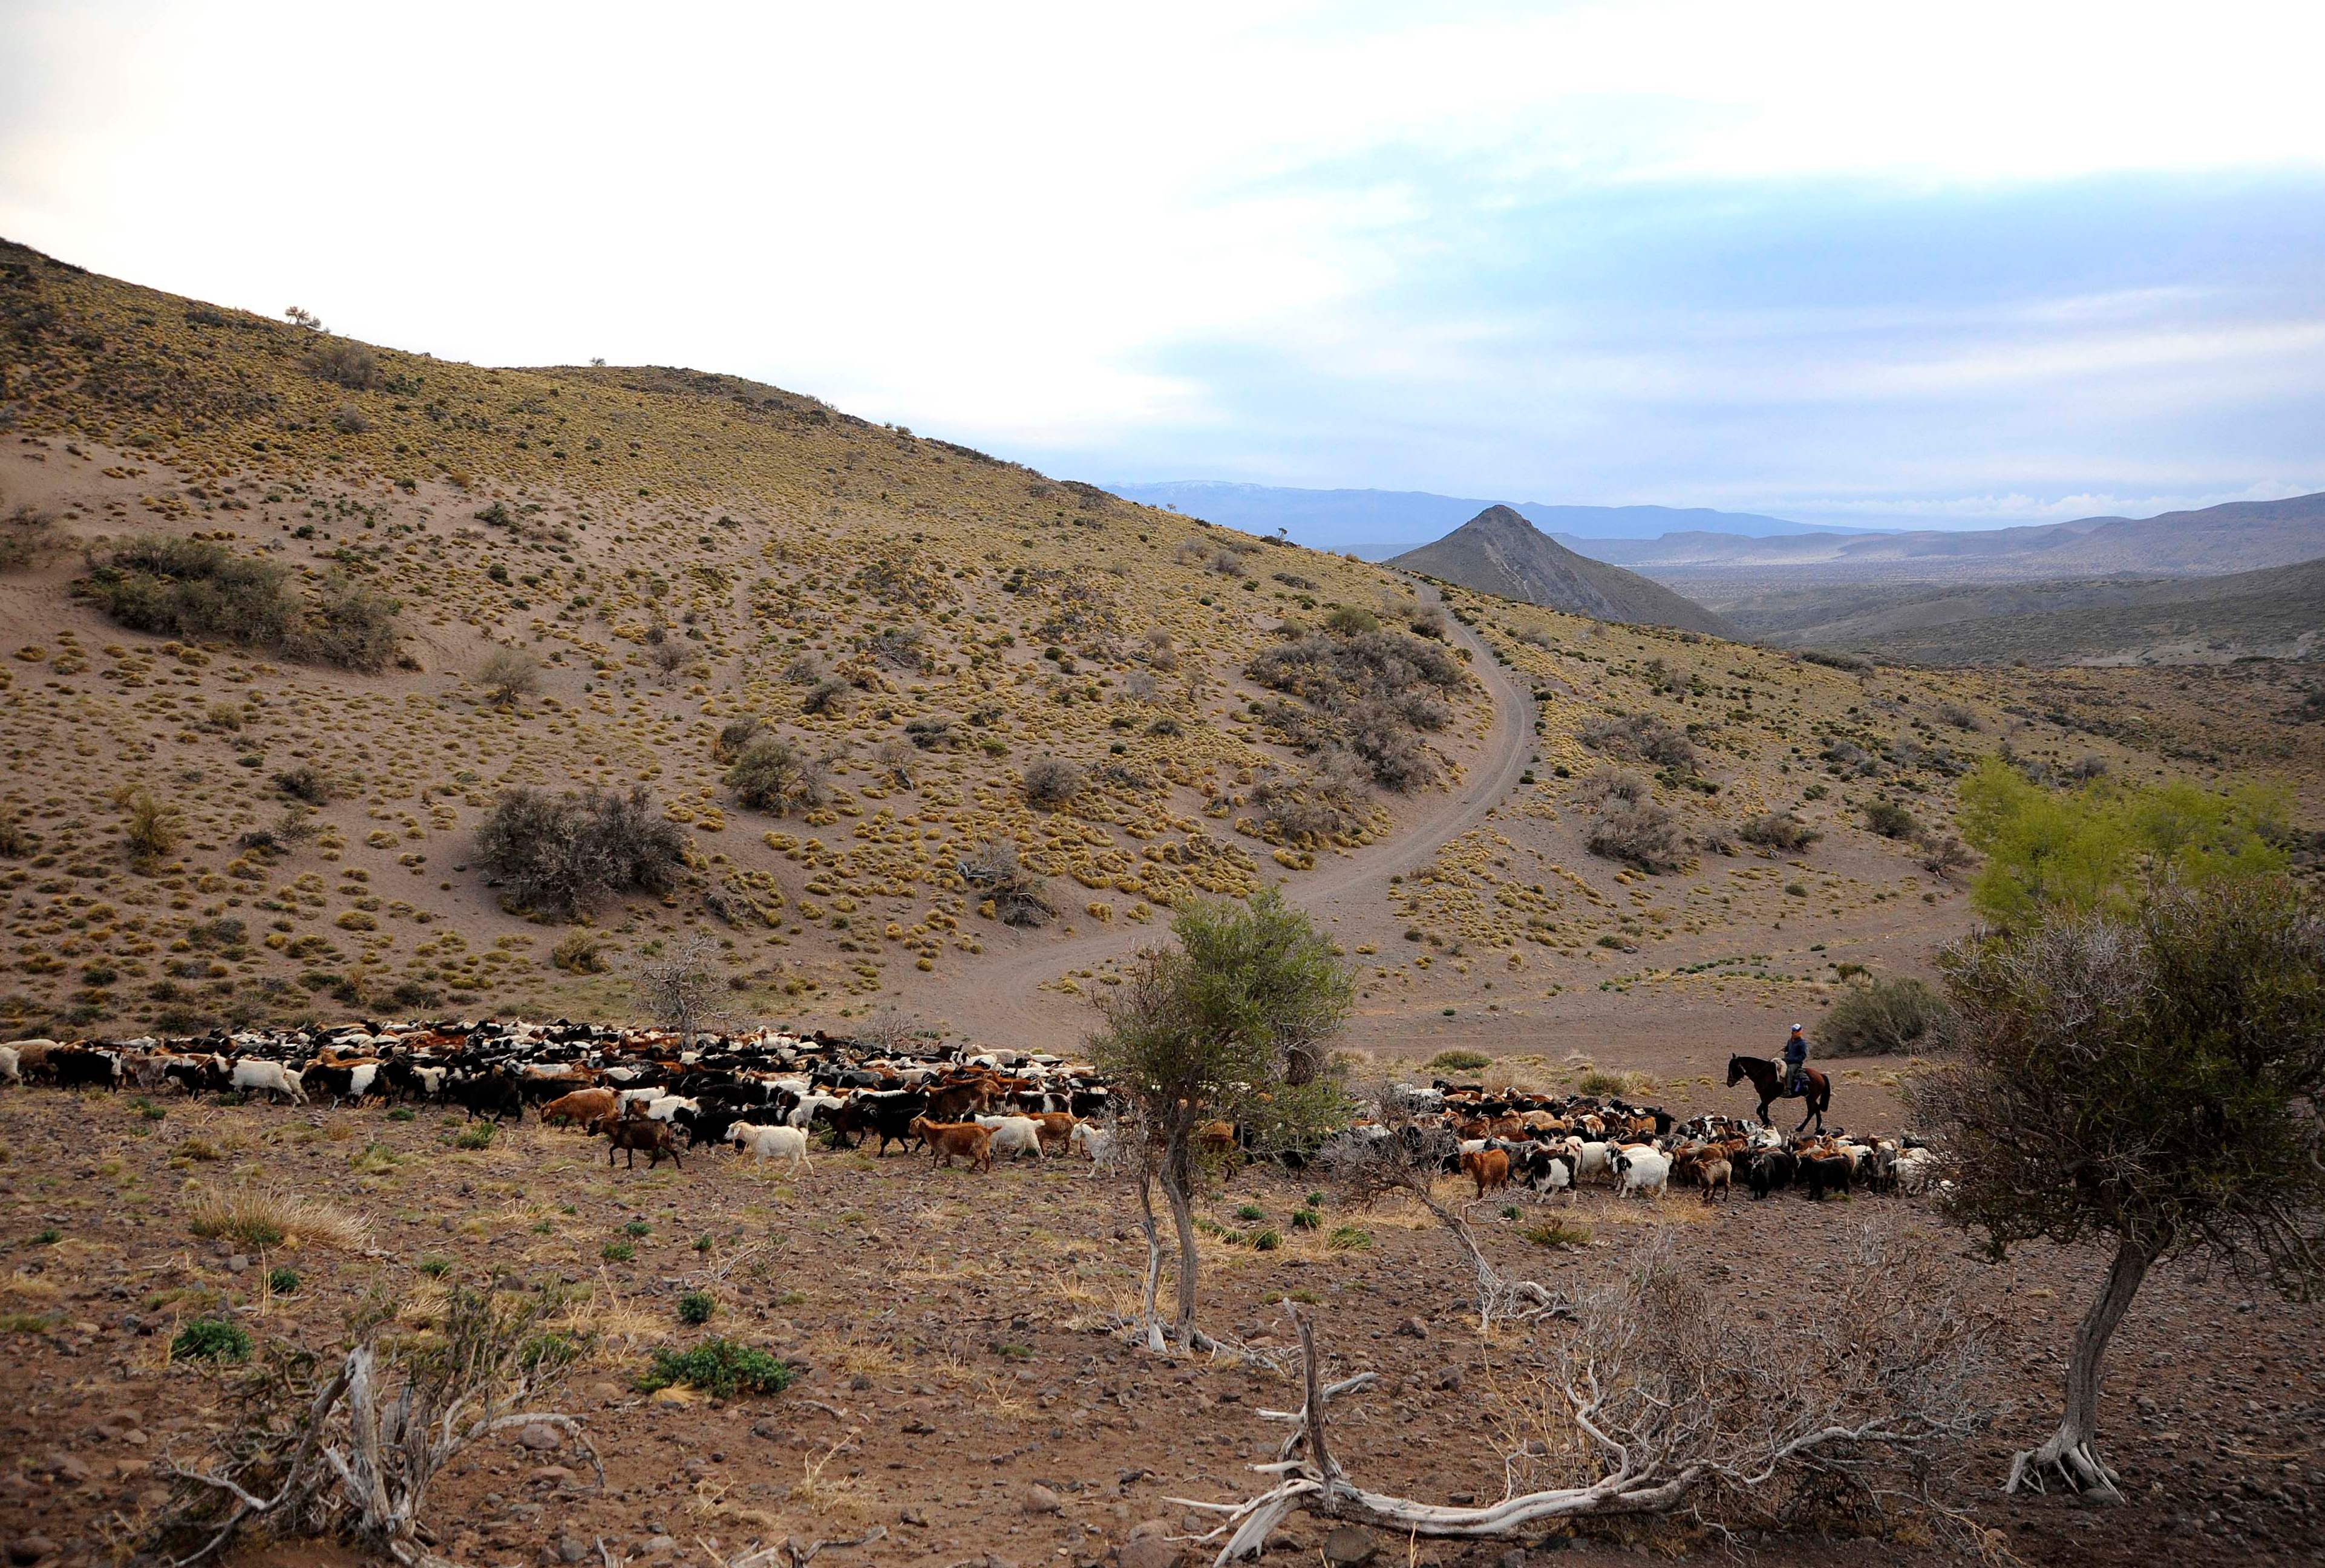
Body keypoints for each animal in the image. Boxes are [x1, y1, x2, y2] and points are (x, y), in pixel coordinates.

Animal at [1720, 1056, 1822, 1131]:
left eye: (1735, 1068)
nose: (1729, 1083)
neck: (1764, 1074)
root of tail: (1821, 1075)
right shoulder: (1763, 1095)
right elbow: (1765, 1109)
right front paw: (1765, 1124)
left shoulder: (1771, 1096)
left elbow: (1759, 1110)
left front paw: (1768, 1122)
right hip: (1811, 1098)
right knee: (1817, 1109)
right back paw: (1817, 1128)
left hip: (1810, 1098)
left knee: (1812, 1111)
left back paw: (1800, 1128)